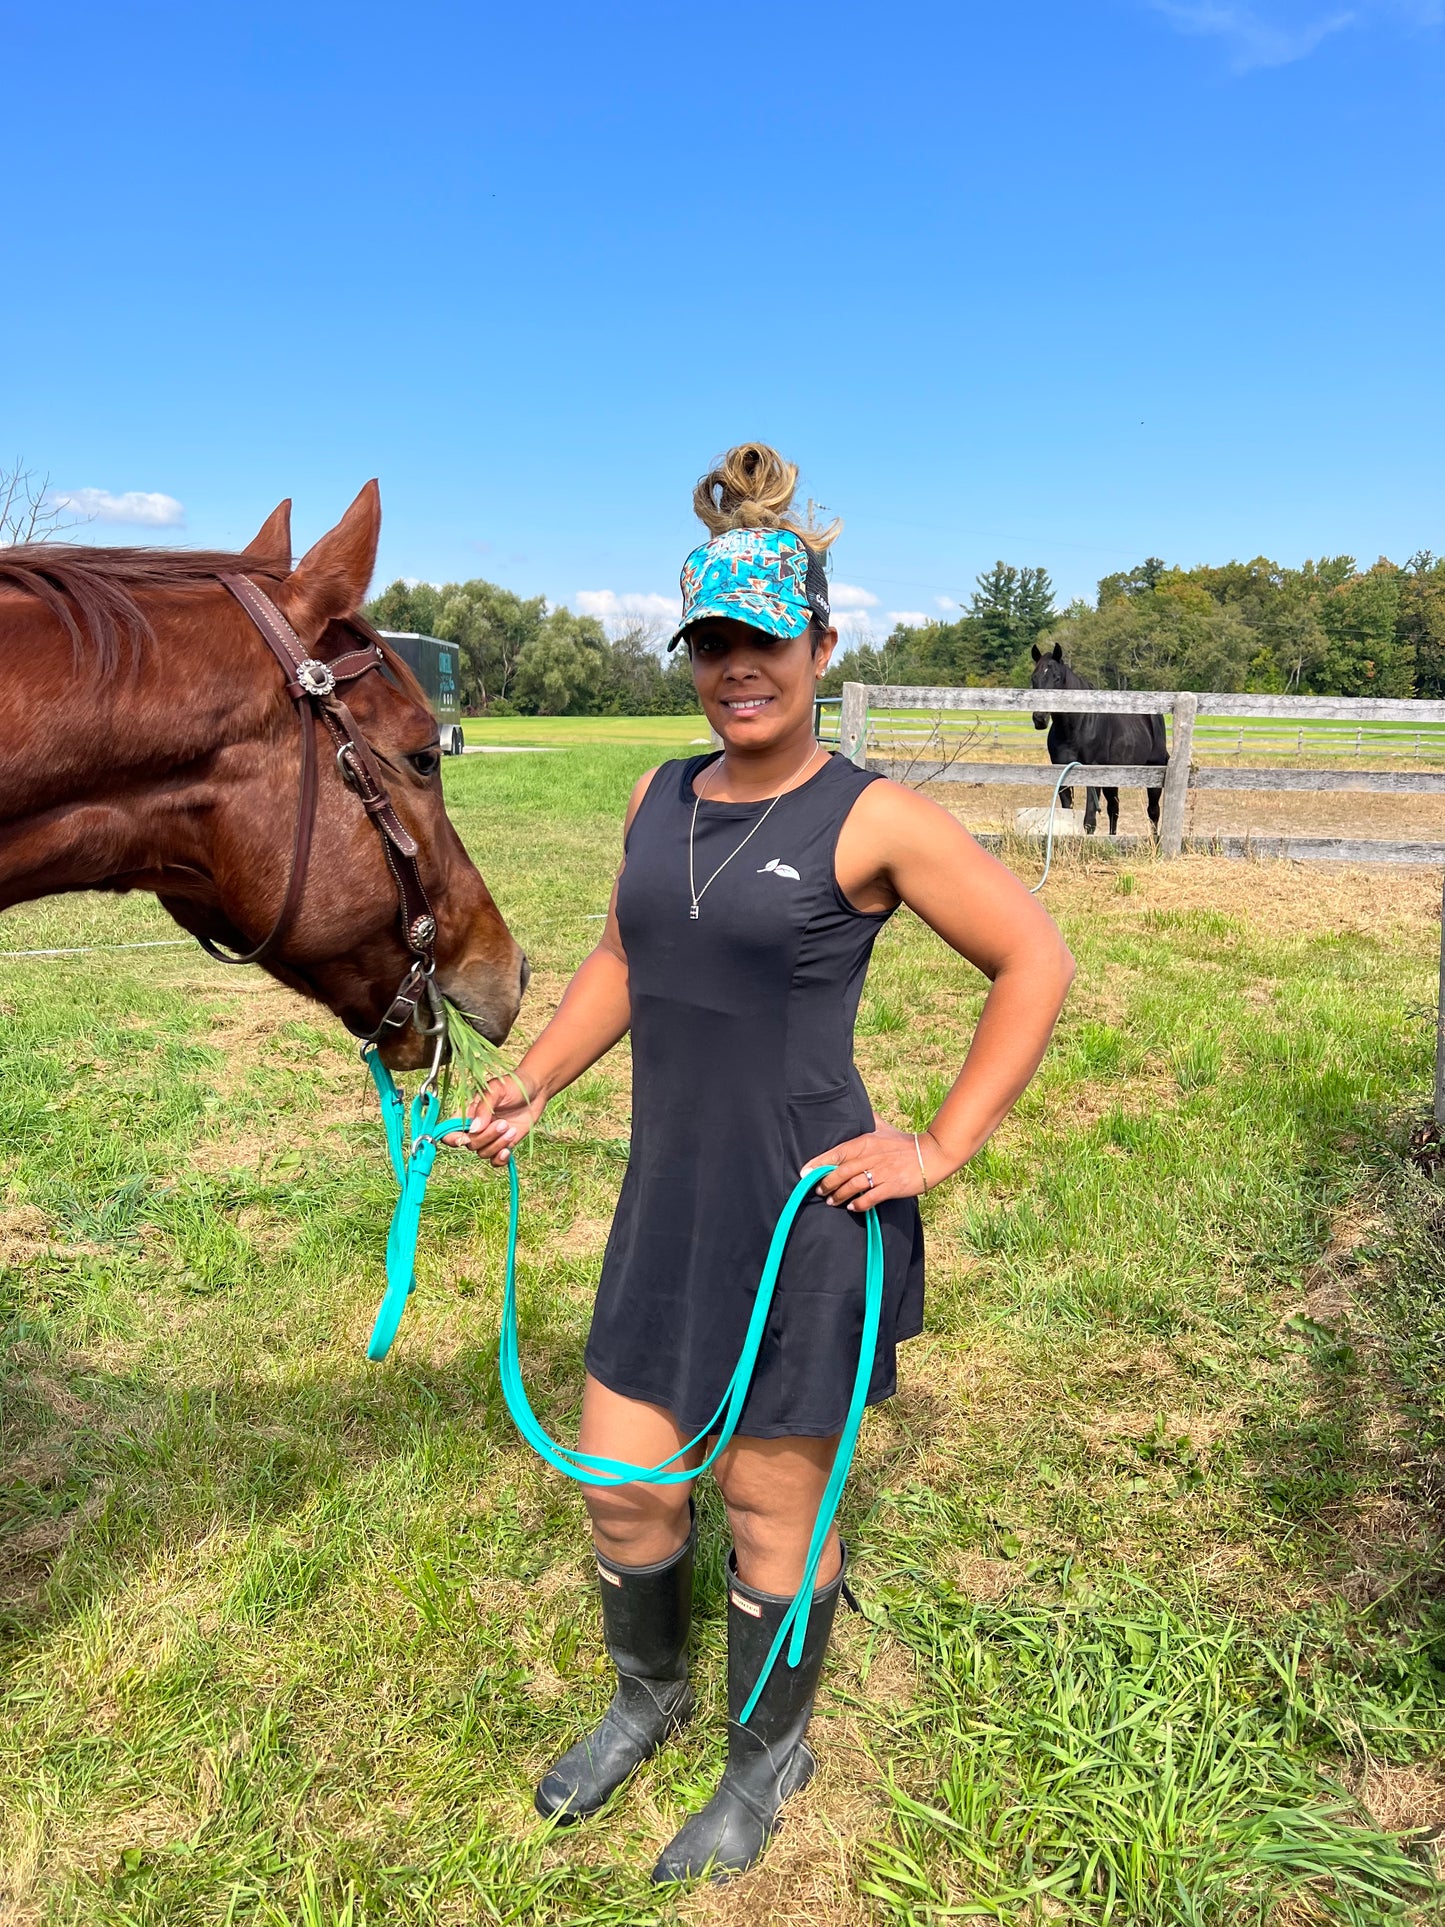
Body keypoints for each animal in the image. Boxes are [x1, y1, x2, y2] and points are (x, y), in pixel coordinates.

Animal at [1032, 639, 1179, 836]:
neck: (1076, 727)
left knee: (1153, 812)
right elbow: (1067, 813)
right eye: (1034, 678)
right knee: (1114, 810)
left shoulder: (1093, 772)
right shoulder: (1062, 771)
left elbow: (1089, 821)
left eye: (1056, 677)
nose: (1039, 718)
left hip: (1153, 771)